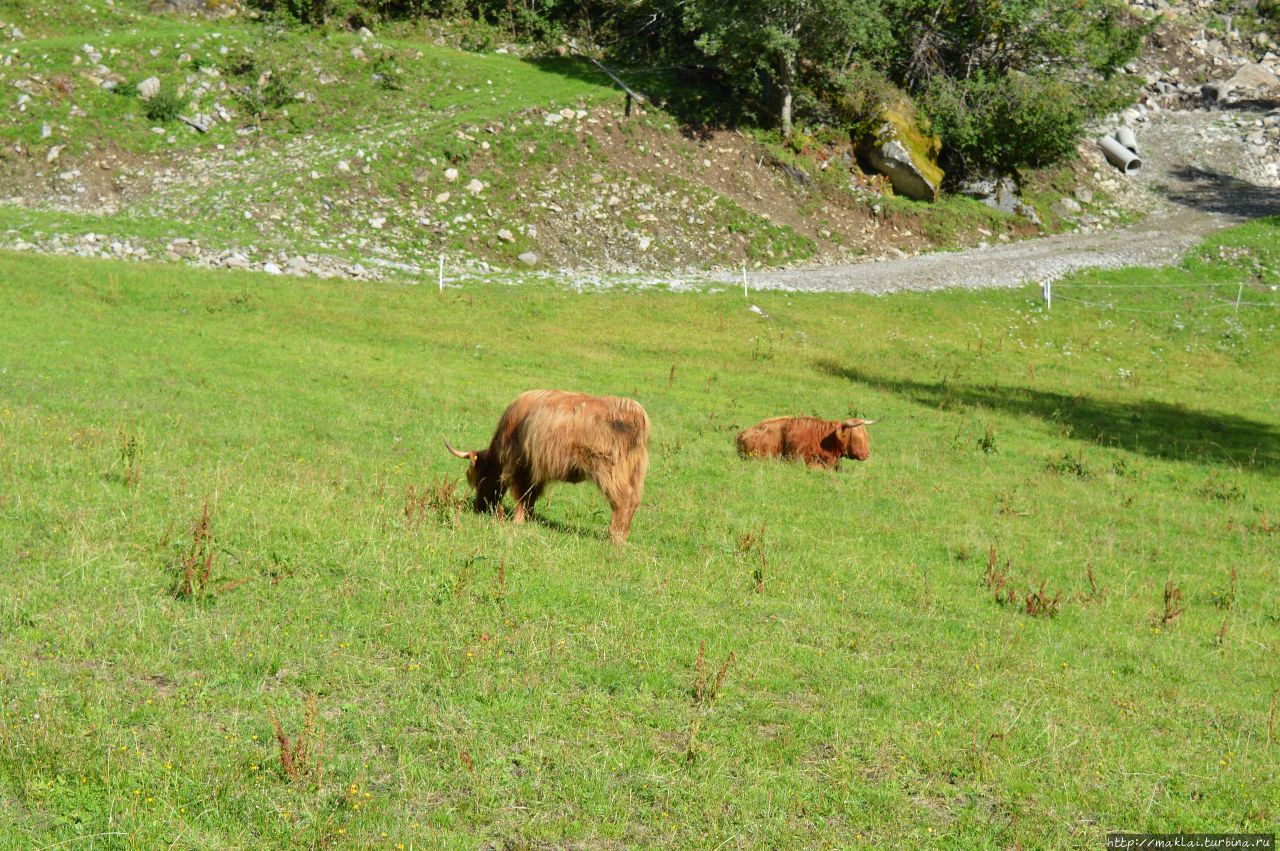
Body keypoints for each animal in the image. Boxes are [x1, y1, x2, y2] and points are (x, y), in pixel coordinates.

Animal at [448, 389, 650, 540]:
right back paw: (624, 535)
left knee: (624, 499)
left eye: (479, 478)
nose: (479, 506)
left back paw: (615, 536)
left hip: (609, 469)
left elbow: (522, 494)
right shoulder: (536, 470)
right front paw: (529, 518)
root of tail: (633, 411)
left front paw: (518, 521)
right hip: (634, 471)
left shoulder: (521, 466)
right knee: (633, 500)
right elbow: (530, 496)